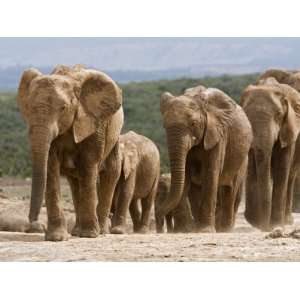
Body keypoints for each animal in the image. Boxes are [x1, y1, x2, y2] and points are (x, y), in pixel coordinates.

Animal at [17, 64, 123, 240]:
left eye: (63, 108)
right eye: (29, 109)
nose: (34, 222)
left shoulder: (94, 123)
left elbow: (89, 164)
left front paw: (89, 235)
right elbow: (50, 165)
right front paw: (56, 238)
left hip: (114, 135)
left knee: (110, 173)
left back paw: (100, 232)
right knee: (75, 182)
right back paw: (76, 232)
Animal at [156, 85, 252, 233]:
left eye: (193, 123)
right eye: (164, 125)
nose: (158, 214)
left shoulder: (217, 134)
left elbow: (210, 173)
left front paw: (205, 231)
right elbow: (186, 175)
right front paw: (185, 230)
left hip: (242, 160)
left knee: (230, 190)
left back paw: (224, 230)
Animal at [241, 77, 300, 230]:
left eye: (278, 115)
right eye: (246, 114)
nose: (264, 226)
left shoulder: (289, 127)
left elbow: (281, 168)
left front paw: (275, 225)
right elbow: (252, 167)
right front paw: (256, 222)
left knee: (290, 176)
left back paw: (286, 221)